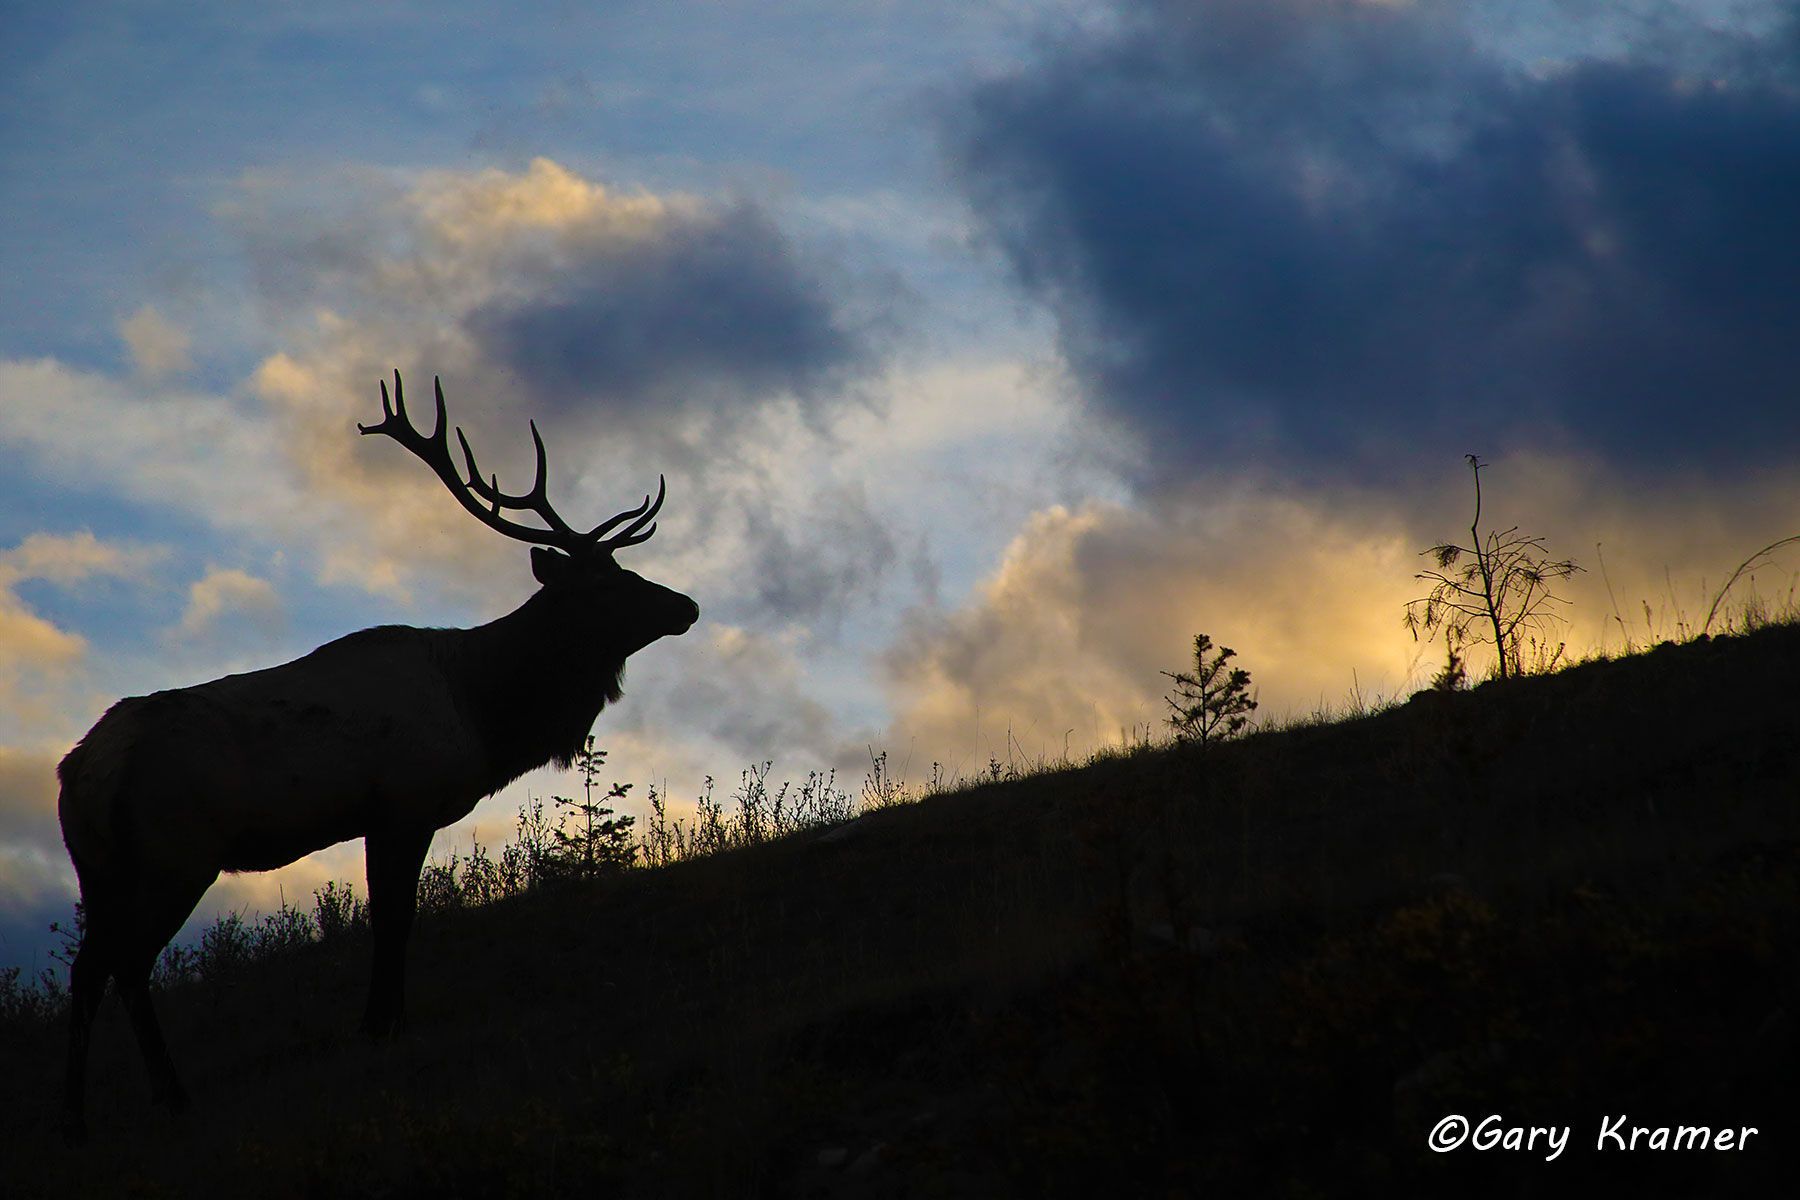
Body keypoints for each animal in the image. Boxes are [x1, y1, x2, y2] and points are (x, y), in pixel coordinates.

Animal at [57, 371, 698, 1142]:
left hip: (99, 866)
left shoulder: (375, 817)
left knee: (88, 969)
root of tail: (79, 771)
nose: (687, 605)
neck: (483, 709)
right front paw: (383, 1025)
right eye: (605, 586)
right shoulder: (406, 804)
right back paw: (170, 1095)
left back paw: (77, 1116)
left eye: (628, 569)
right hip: (174, 854)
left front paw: (379, 1020)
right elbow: (397, 914)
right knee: (128, 964)